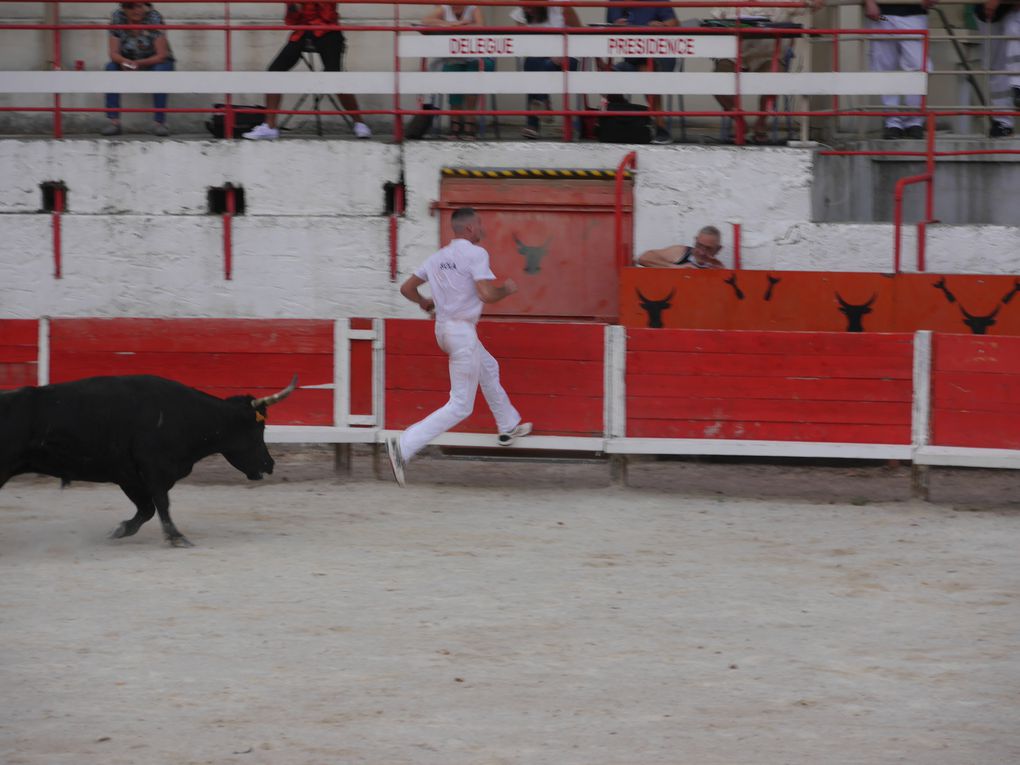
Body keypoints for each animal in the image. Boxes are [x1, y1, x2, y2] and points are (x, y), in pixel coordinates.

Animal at [0, 375, 297, 546]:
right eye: (257, 428)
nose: (270, 464)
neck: (185, 415)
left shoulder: (130, 477)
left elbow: (147, 510)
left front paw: (120, 530)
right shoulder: (153, 470)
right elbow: (162, 504)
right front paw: (177, 537)